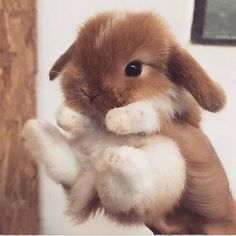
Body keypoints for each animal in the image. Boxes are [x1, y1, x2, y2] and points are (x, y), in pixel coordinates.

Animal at [22, 12, 236, 233]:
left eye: (134, 68)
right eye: (79, 59)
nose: (89, 91)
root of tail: (92, 179)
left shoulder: (177, 110)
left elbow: (148, 109)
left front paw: (116, 119)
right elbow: (86, 121)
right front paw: (65, 116)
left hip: (169, 162)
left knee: (128, 202)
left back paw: (117, 158)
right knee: (71, 173)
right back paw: (37, 131)